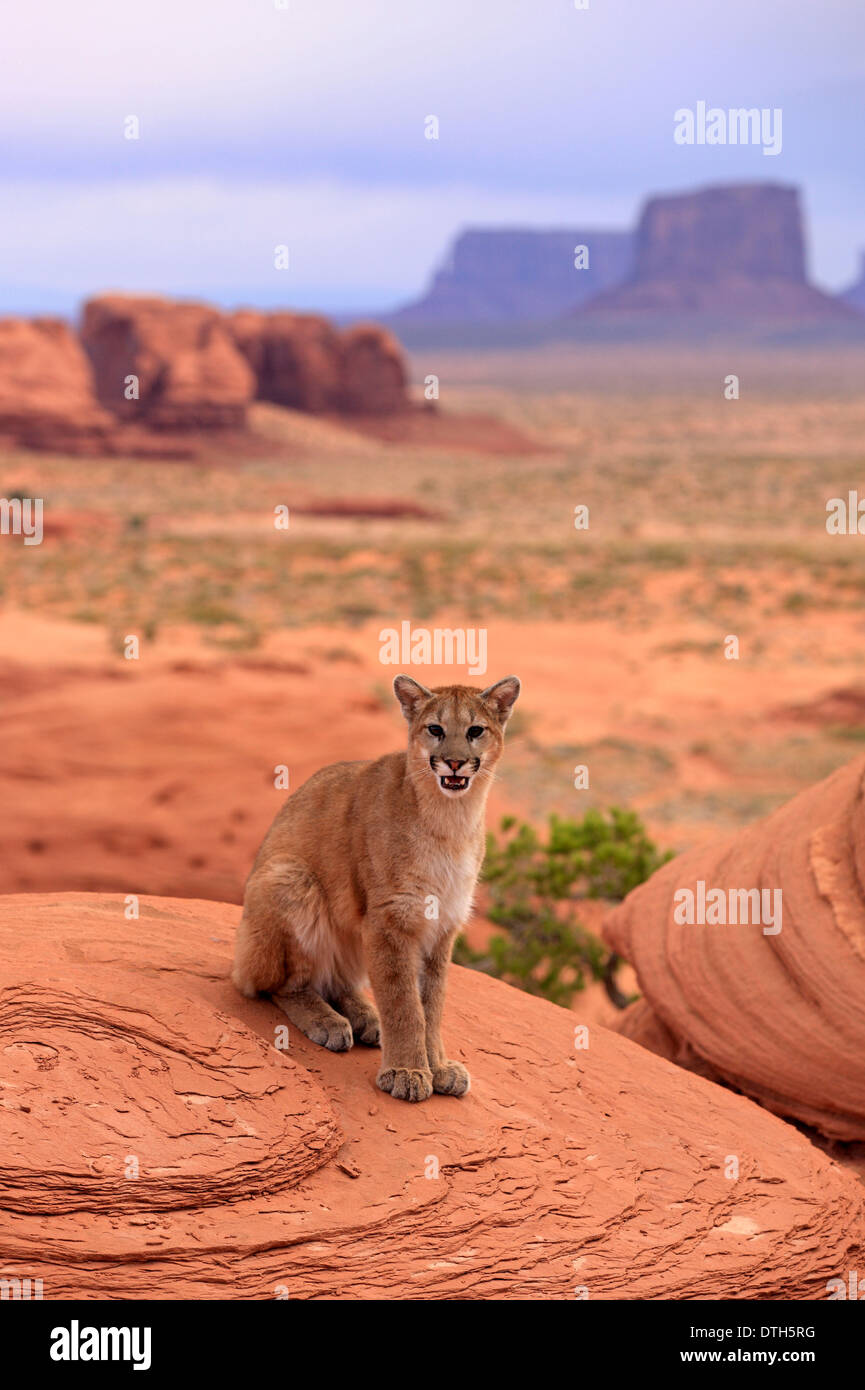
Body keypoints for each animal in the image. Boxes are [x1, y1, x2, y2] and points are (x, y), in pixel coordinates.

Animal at [230, 675, 522, 1106]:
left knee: (337, 980)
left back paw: (365, 1016)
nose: (454, 762)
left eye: (475, 731)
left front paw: (437, 1066)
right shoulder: (390, 918)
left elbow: (432, 1003)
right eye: (435, 730)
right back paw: (329, 1021)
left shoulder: (441, 923)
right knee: (280, 984)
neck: (450, 821)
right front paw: (406, 1072)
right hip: (291, 879)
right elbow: (404, 1004)